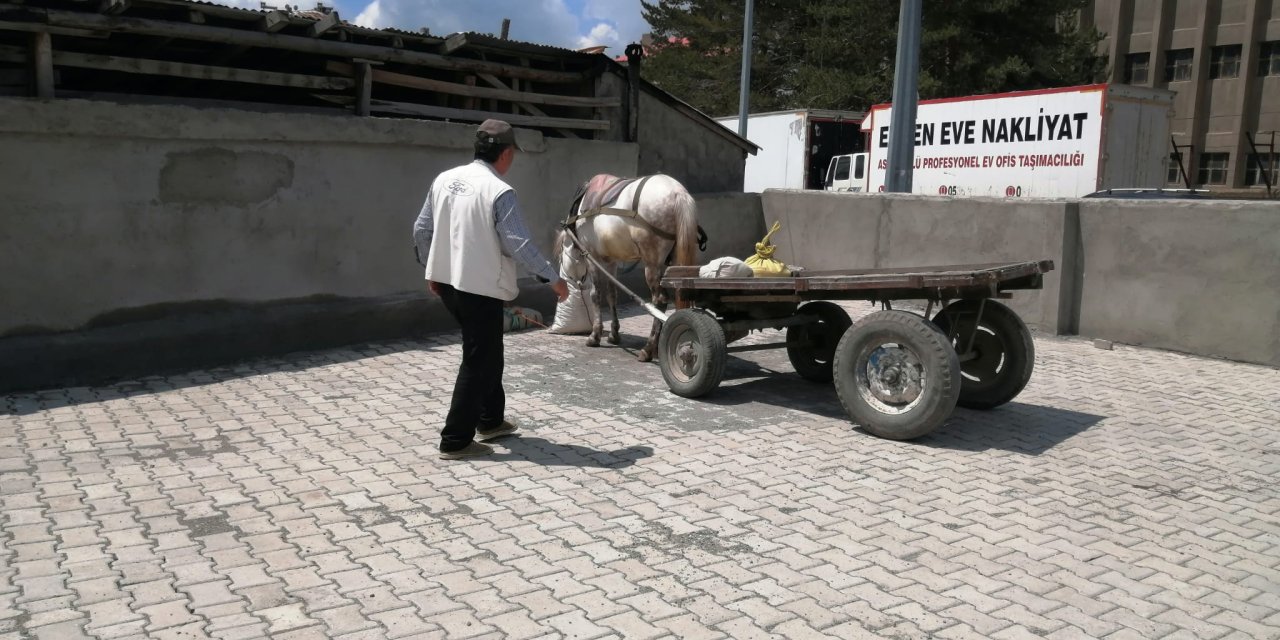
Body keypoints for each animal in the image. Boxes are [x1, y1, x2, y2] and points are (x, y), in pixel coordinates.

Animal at [555, 172, 701, 363]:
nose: (572, 281)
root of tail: (678, 193)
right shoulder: (611, 261)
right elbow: (612, 295)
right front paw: (614, 334)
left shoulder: (593, 257)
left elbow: (596, 295)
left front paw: (595, 335)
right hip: (676, 262)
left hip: (652, 264)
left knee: (660, 300)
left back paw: (648, 349)